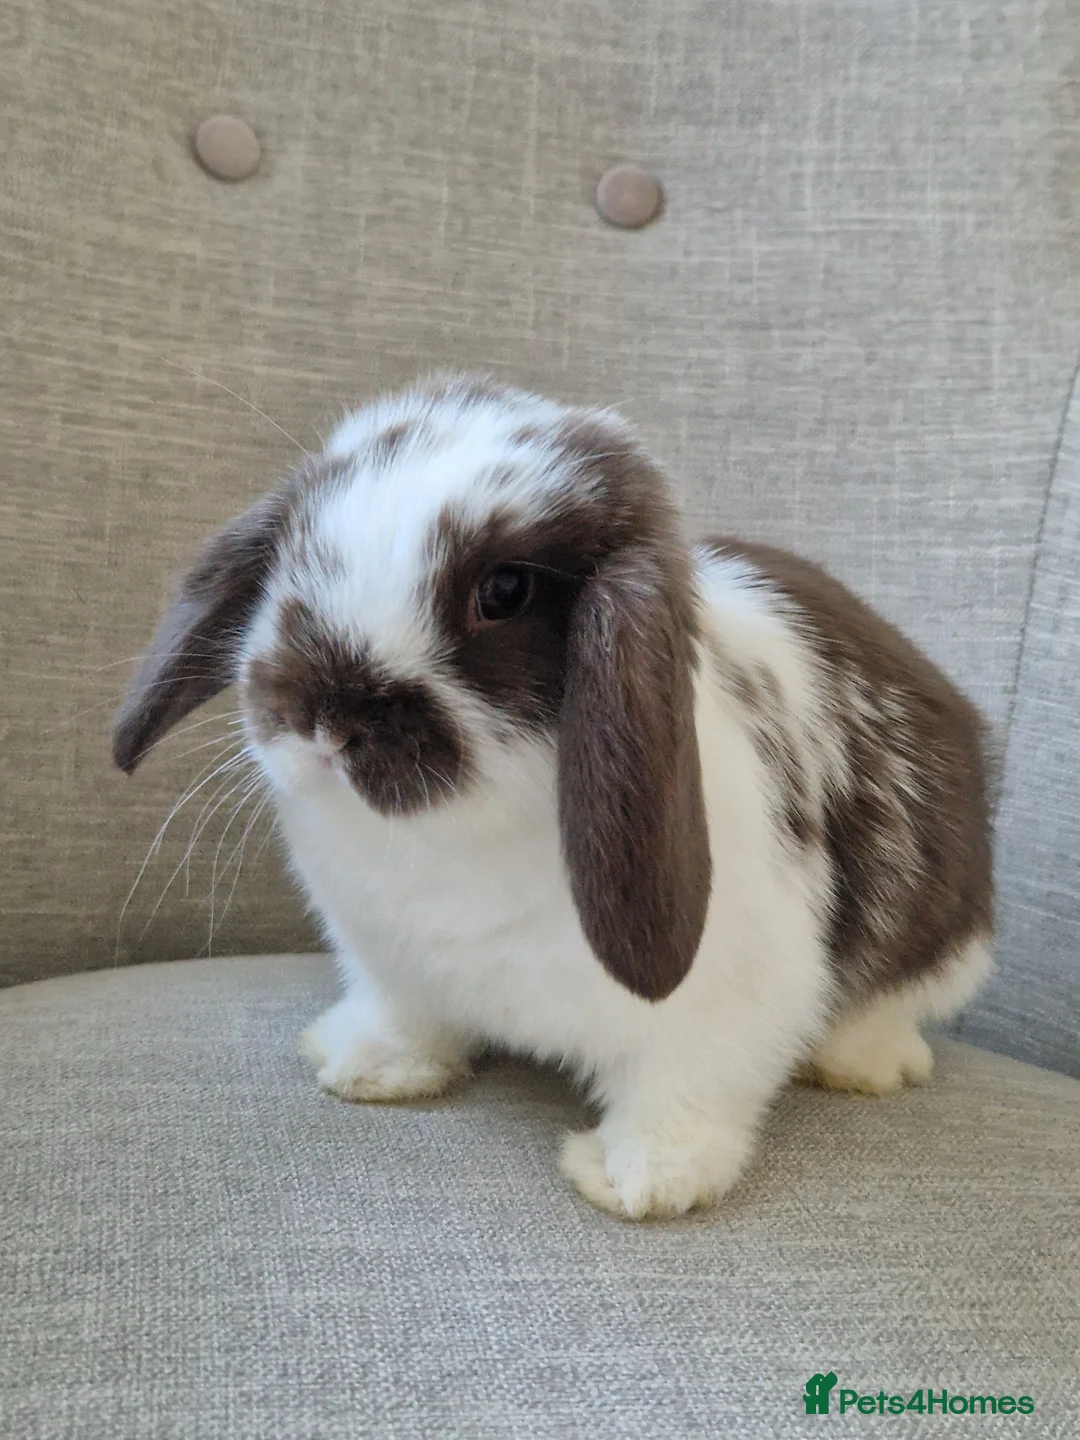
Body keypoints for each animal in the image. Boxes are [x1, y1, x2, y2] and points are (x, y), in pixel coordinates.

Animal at [113, 375, 993, 1220]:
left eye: (503, 592)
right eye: (298, 547)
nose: (325, 716)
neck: (463, 835)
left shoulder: (729, 996)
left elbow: (685, 1090)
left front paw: (642, 1182)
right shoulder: (386, 960)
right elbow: (404, 1016)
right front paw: (369, 1067)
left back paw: (863, 1064)